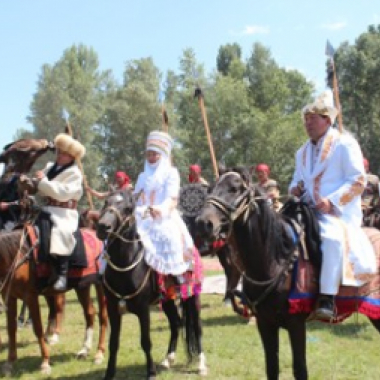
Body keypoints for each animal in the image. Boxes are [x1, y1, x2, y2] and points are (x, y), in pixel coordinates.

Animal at [96, 190, 206, 380]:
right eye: (106, 202)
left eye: (128, 208)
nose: (103, 227)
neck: (125, 268)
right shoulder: (112, 309)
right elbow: (113, 343)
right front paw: (109, 373)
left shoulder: (143, 310)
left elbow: (146, 341)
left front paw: (151, 372)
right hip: (167, 300)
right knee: (176, 324)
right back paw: (168, 359)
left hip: (193, 297)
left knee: (197, 327)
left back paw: (201, 365)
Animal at [197, 167, 380, 380]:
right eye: (210, 188)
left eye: (235, 188)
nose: (204, 223)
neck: (275, 261)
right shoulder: (265, 323)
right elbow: (272, 367)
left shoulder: (296, 324)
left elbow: (300, 369)